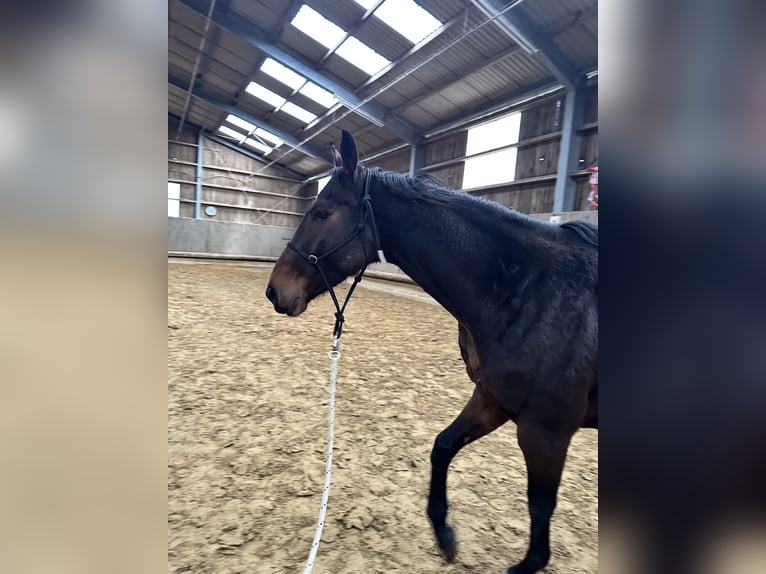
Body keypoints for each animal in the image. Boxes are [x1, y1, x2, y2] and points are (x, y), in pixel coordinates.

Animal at [266, 130, 598, 574]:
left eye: (321, 213)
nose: (275, 291)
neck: (531, 291)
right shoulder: (493, 401)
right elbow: (442, 447)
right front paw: (444, 533)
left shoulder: (545, 430)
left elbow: (540, 504)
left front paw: (529, 562)